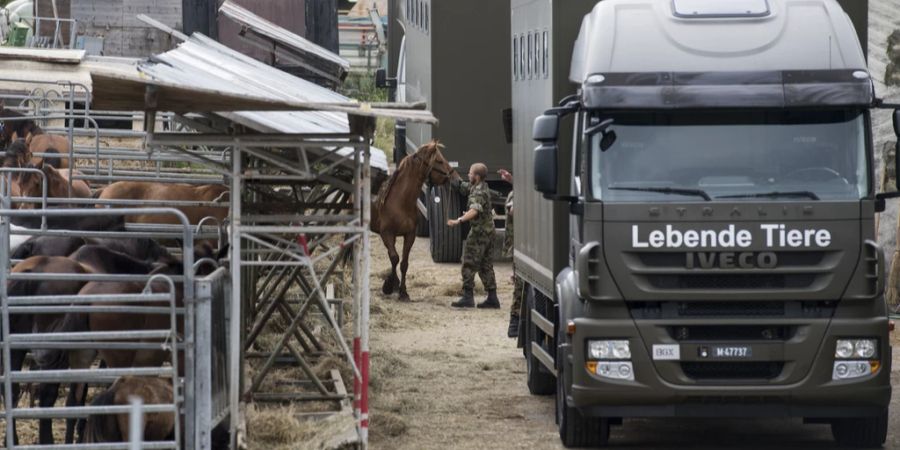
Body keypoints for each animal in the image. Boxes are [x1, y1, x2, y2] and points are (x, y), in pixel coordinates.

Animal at [370, 141, 454, 300]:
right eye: (439, 161)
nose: (454, 176)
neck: (400, 201)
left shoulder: (409, 235)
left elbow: (403, 263)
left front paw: (402, 291)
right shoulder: (386, 234)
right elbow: (394, 258)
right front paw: (389, 286)